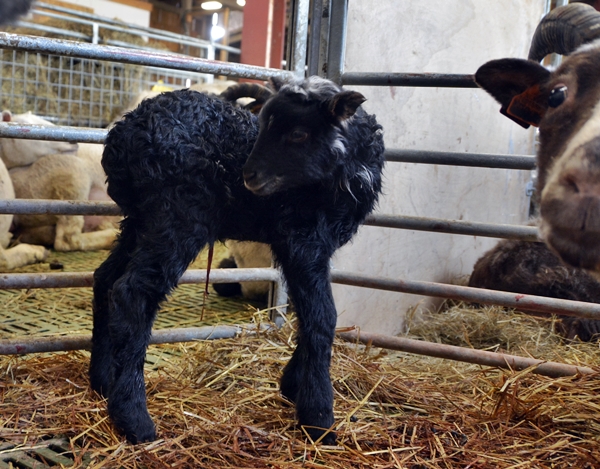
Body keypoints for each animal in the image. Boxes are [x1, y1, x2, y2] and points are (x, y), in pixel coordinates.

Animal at [91, 76, 386, 442]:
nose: (250, 177)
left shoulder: (302, 243)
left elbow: (309, 315)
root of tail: (123, 136)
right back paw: (133, 418)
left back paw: (102, 380)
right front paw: (318, 419)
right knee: (132, 294)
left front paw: (293, 385)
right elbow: (322, 317)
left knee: (105, 279)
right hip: (178, 216)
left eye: (299, 133)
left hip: (141, 220)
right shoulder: (304, 239)